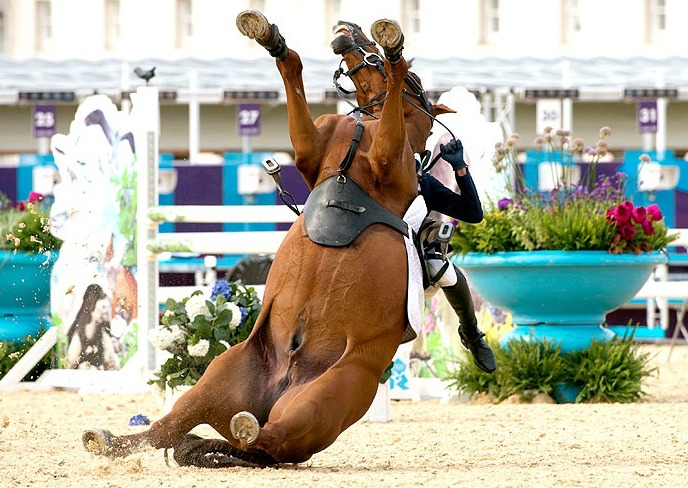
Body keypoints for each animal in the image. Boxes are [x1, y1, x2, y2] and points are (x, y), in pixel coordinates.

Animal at [82, 11, 452, 468]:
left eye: (418, 77)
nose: (347, 28)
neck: (363, 128)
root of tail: (277, 388)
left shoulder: (388, 157)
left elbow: (393, 97)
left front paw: (393, 48)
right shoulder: (311, 152)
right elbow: (292, 73)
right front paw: (268, 36)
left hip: (326, 398)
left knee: (266, 439)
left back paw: (236, 433)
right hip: (216, 379)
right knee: (171, 429)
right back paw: (112, 441)